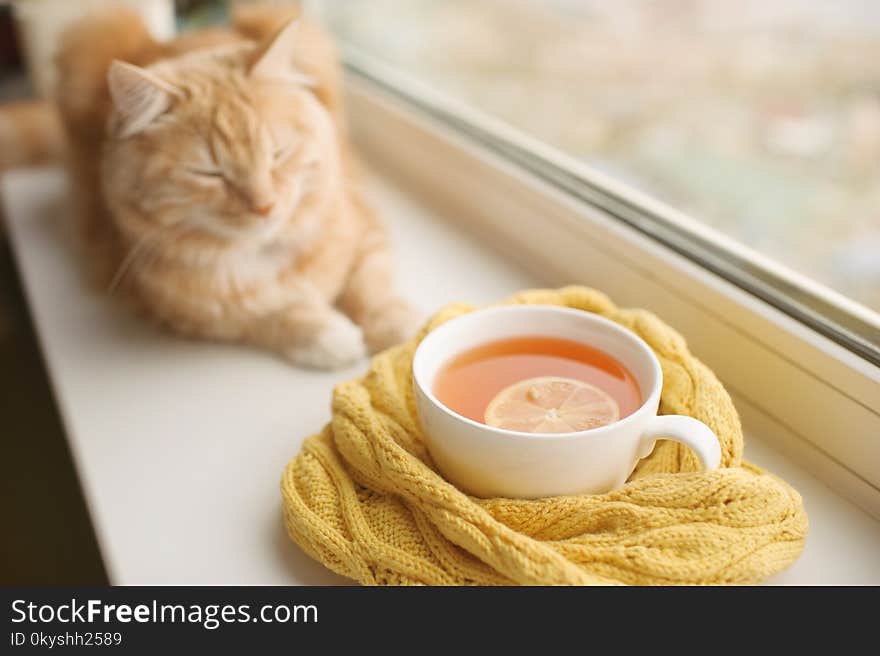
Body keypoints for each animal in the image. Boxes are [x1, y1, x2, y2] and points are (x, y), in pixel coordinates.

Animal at [0, 3, 420, 368]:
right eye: (210, 173)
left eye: (278, 153)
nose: (265, 206)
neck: (264, 253)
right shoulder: (176, 309)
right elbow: (271, 316)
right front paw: (327, 335)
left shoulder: (366, 227)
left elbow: (371, 285)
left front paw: (399, 328)